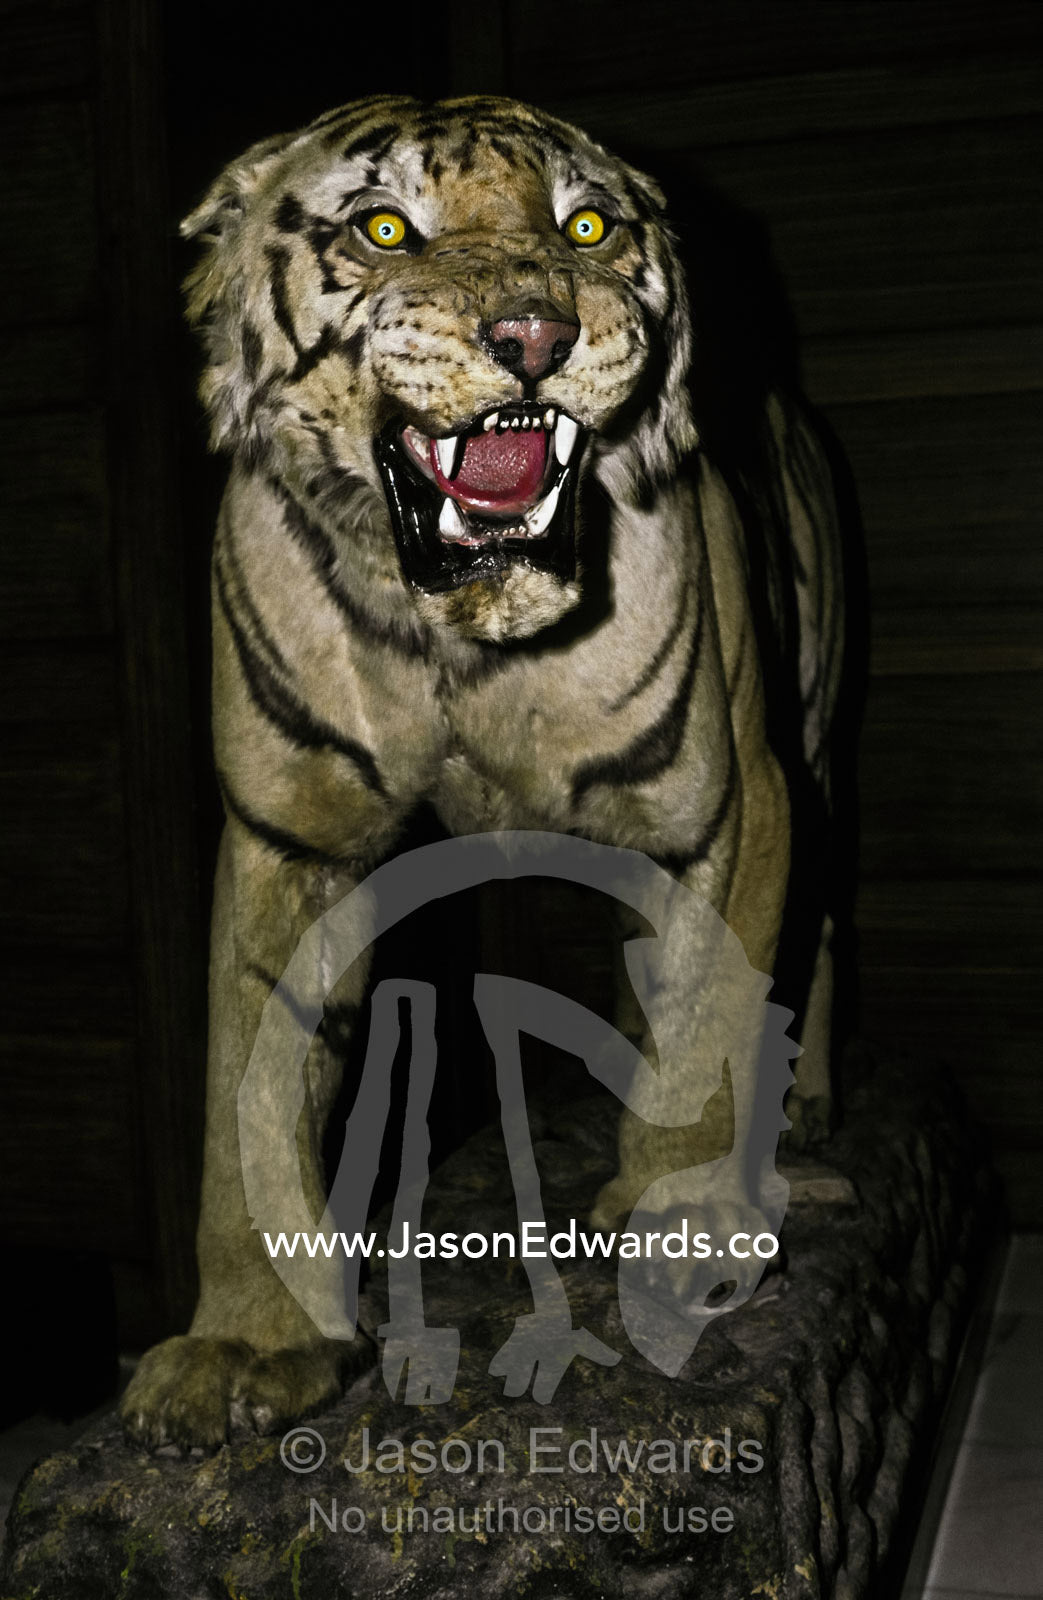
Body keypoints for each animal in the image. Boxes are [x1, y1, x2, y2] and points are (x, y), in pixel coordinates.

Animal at [120, 94, 844, 1450]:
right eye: (384, 227)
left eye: (588, 226)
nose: (534, 332)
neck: (462, 638)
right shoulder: (289, 841)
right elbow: (249, 1094)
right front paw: (249, 1342)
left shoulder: (728, 797)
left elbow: (711, 1027)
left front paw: (684, 1223)